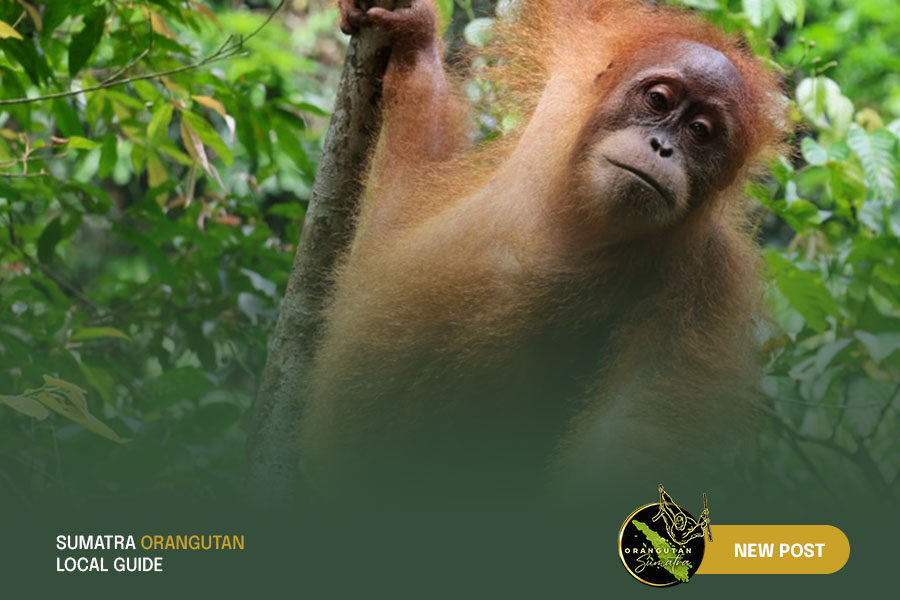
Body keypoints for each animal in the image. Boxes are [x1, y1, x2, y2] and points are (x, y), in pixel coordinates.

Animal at [300, 0, 787, 506]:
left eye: (700, 132)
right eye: (658, 100)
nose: (661, 147)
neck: (582, 220)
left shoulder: (708, 280)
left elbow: (626, 435)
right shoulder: (571, 79)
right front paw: (414, 36)